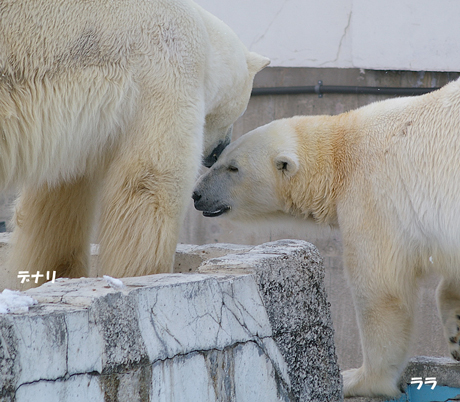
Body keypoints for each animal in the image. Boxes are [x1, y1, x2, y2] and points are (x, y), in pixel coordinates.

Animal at [0, 0, 270, 280]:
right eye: (239, 110)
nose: (219, 150)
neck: (204, 36)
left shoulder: (74, 128)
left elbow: (60, 195)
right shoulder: (167, 70)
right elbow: (153, 179)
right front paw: (149, 274)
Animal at [192, 79, 460, 398]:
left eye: (233, 167)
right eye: (219, 160)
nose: (196, 195)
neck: (340, 150)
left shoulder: (373, 194)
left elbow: (380, 289)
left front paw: (359, 379)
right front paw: (457, 332)